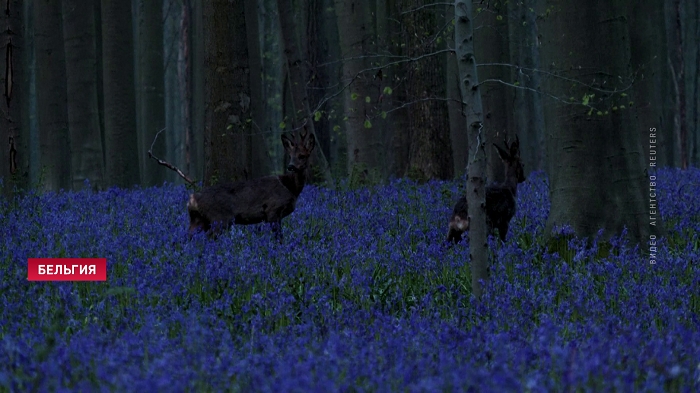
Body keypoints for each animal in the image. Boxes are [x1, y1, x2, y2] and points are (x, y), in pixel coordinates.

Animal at [187, 129, 316, 239]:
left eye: (302, 156)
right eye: (290, 156)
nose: (291, 166)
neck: (290, 187)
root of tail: (192, 199)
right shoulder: (273, 209)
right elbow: (279, 238)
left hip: (198, 220)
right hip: (219, 218)